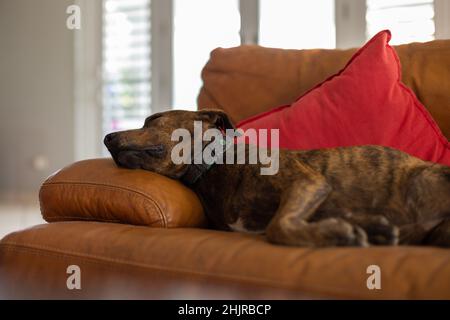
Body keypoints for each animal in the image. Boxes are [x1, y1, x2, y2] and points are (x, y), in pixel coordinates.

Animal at [103, 110, 450, 248]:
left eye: (153, 119)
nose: (106, 138)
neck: (215, 166)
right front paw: (367, 229)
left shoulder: (306, 182)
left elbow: (278, 226)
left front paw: (338, 234)